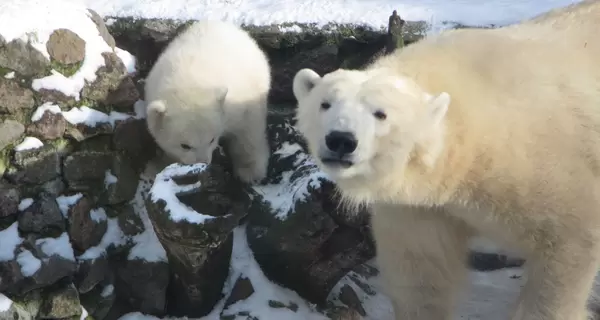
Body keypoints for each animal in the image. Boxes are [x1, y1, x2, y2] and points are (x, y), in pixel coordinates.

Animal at [143, 20, 270, 184]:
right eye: (185, 145)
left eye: (212, 139)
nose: (203, 163)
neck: (188, 82)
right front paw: (156, 167)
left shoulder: (238, 103)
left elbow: (247, 130)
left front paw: (249, 171)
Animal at [292, 1, 600, 318]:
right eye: (325, 104)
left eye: (380, 113)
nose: (341, 140)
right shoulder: (420, 207)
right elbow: (421, 274)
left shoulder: (542, 167)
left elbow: (567, 244)